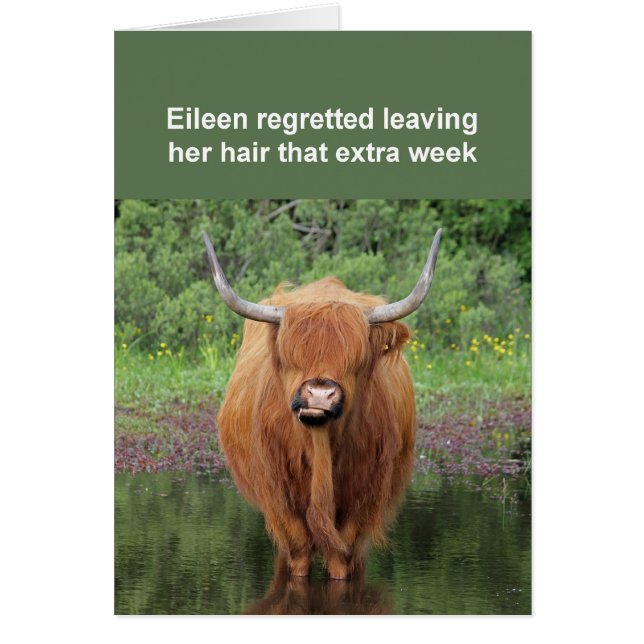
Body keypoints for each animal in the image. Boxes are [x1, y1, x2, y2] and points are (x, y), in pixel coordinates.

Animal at [203, 229, 441, 580]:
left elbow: (342, 555)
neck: (320, 448)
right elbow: (299, 550)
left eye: (356, 361)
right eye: (290, 357)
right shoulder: (278, 494)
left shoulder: (365, 495)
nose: (319, 392)